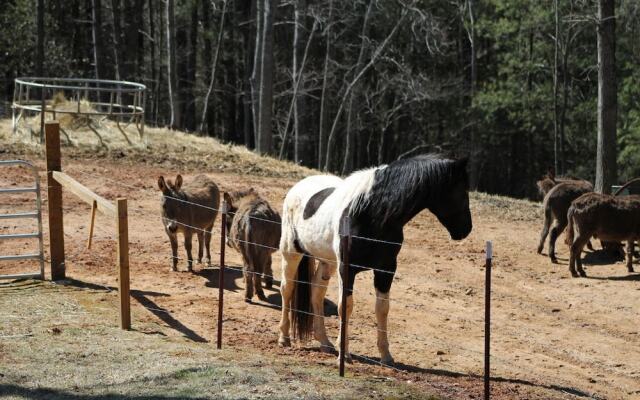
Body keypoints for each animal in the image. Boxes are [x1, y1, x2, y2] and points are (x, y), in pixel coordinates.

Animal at [278, 155, 472, 364]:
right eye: (462, 191)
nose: (466, 229)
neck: (369, 214)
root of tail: (298, 187)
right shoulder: (347, 268)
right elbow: (345, 306)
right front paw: (344, 353)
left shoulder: (386, 269)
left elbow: (382, 308)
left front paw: (386, 355)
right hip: (291, 252)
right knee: (287, 288)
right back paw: (284, 337)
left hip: (326, 261)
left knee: (317, 293)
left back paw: (325, 343)